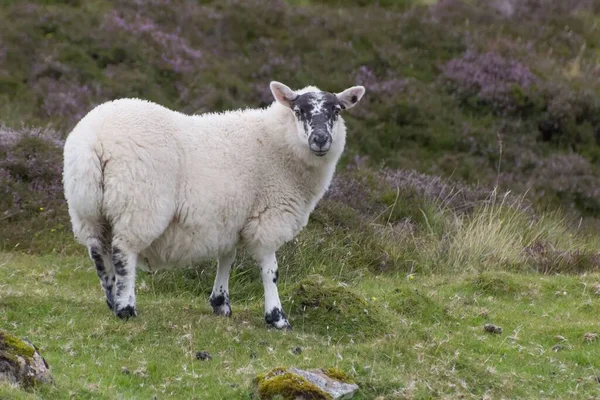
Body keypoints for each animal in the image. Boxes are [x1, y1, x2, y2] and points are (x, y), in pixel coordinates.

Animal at [65, 80, 366, 328]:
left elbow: (227, 259)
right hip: (139, 204)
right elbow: (271, 270)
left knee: (99, 255)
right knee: (123, 253)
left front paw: (220, 303)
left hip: (87, 210)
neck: (277, 143)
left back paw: (112, 299)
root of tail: (93, 142)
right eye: (298, 111)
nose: (320, 139)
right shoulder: (269, 217)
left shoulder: (229, 216)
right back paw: (126, 308)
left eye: (337, 111)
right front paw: (276, 317)